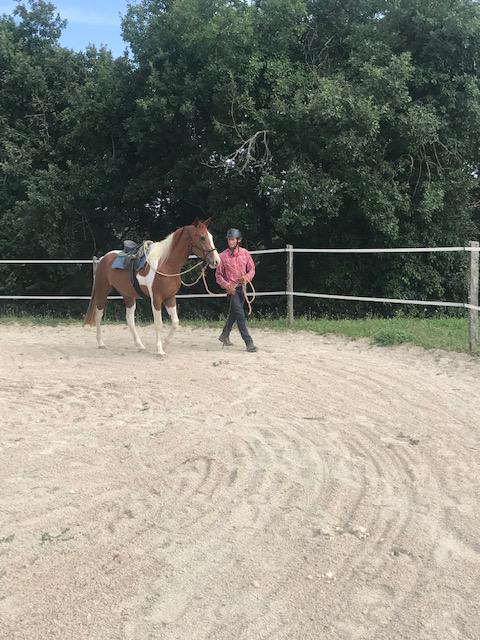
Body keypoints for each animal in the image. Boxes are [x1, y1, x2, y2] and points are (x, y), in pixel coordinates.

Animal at [85, 216, 221, 356]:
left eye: (210, 237)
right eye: (202, 237)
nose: (216, 261)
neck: (166, 265)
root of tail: (103, 258)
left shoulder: (170, 298)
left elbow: (175, 322)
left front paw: (165, 344)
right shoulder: (156, 298)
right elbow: (158, 324)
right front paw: (160, 350)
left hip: (128, 296)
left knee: (129, 319)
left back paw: (140, 345)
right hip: (102, 291)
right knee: (98, 315)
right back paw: (101, 343)